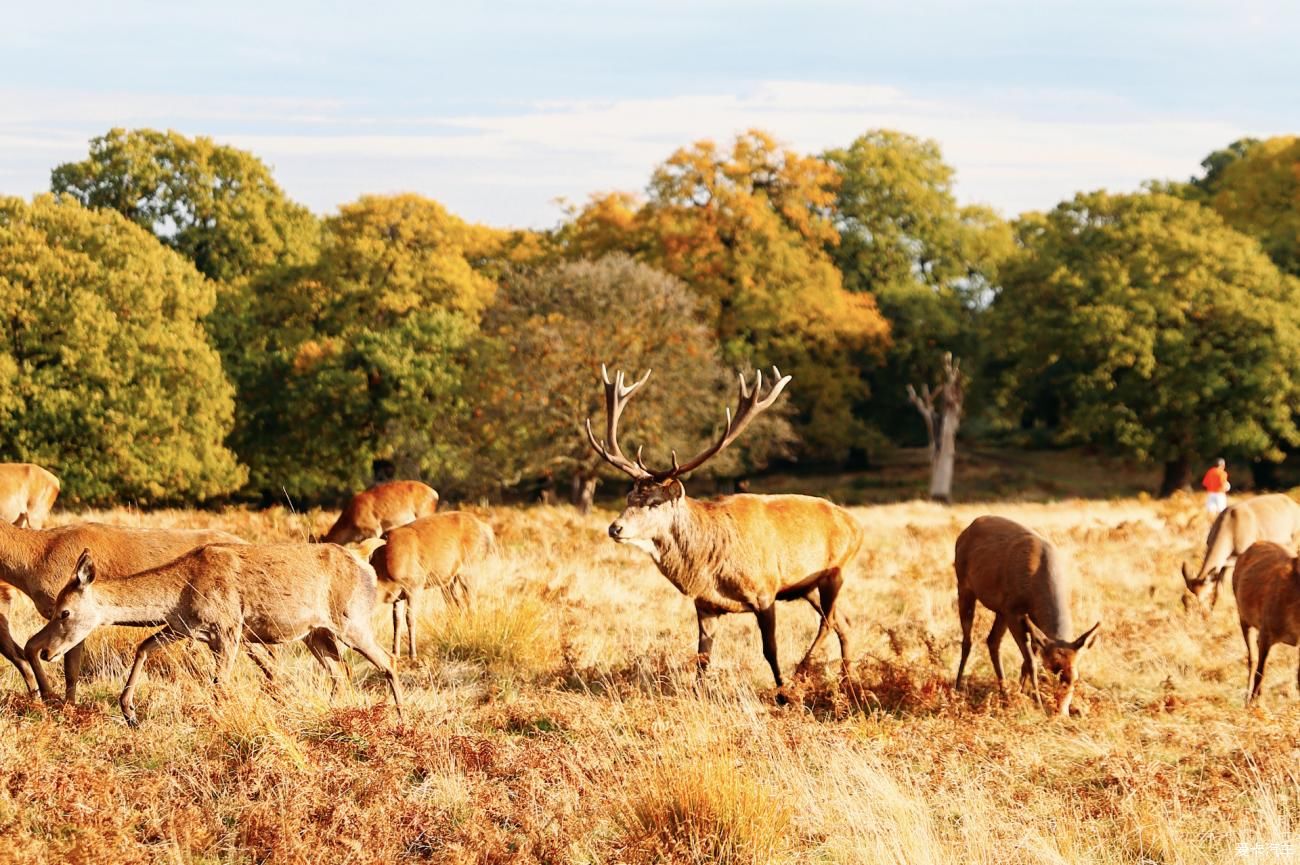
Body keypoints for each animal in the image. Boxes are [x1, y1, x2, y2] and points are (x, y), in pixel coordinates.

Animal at [371, 509, 501, 658]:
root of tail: (486, 529)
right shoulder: (398, 595)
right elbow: (396, 620)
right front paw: (395, 654)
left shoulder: (415, 583)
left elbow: (410, 618)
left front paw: (413, 655)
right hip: (448, 579)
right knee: (458, 606)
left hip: (470, 565)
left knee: (472, 606)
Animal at [587, 361, 863, 697]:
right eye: (629, 497)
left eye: (653, 502)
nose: (615, 528)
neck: (708, 564)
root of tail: (856, 524)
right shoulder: (705, 604)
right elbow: (703, 656)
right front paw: (697, 694)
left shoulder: (764, 590)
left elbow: (769, 649)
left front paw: (782, 692)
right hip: (807, 586)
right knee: (845, 622)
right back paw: (847, 680)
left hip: (835, 570)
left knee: (829, 621)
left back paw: (800, 675)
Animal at [951, 512, 1102, 712]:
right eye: (1051, 670)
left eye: (1075, 677)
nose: (1061, 712)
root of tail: (966, 530)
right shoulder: (1014, 611)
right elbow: (1031, 662)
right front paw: (1038, 704)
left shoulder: (1029, 618)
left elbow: (1027, 659)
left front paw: (1021, 695)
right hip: (964, 585)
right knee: (968, 640)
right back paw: (957, 687)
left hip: (1000, 609)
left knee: (992, 641)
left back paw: (1005, 695)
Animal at [1227, 543, 1300, 707]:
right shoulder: (1266, 633)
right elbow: (1261, 672)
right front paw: (1252, 705)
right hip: (1244, 618)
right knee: (1252, 660)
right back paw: (1248, 698)